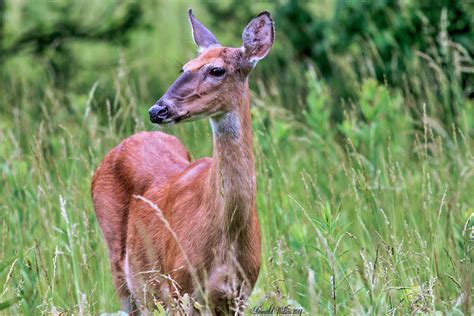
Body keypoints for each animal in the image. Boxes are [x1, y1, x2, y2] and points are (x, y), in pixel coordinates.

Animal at [90, 8, 274, 314]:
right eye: (184, 68)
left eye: (216, 70)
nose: (157, 109)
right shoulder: (179, 286)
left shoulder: (239, 293)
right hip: (121, 270)